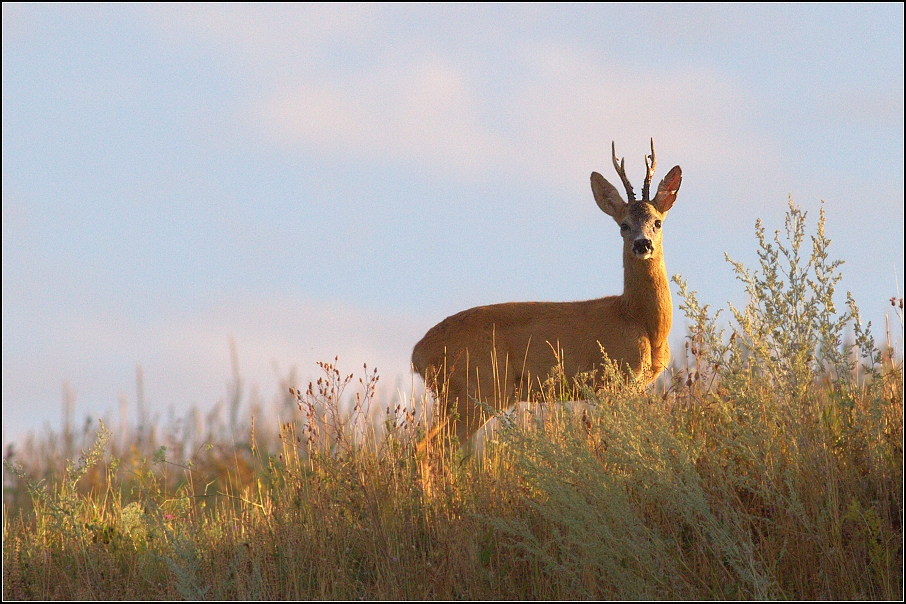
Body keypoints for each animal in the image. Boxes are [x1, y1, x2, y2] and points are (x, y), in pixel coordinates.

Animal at [410, 139, 680, 446]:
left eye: (657, 222)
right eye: (624, 225)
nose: (642, 244)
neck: (639, 319)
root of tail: (418, 354)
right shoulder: (615, 380)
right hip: (476, 389)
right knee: (427, 446)